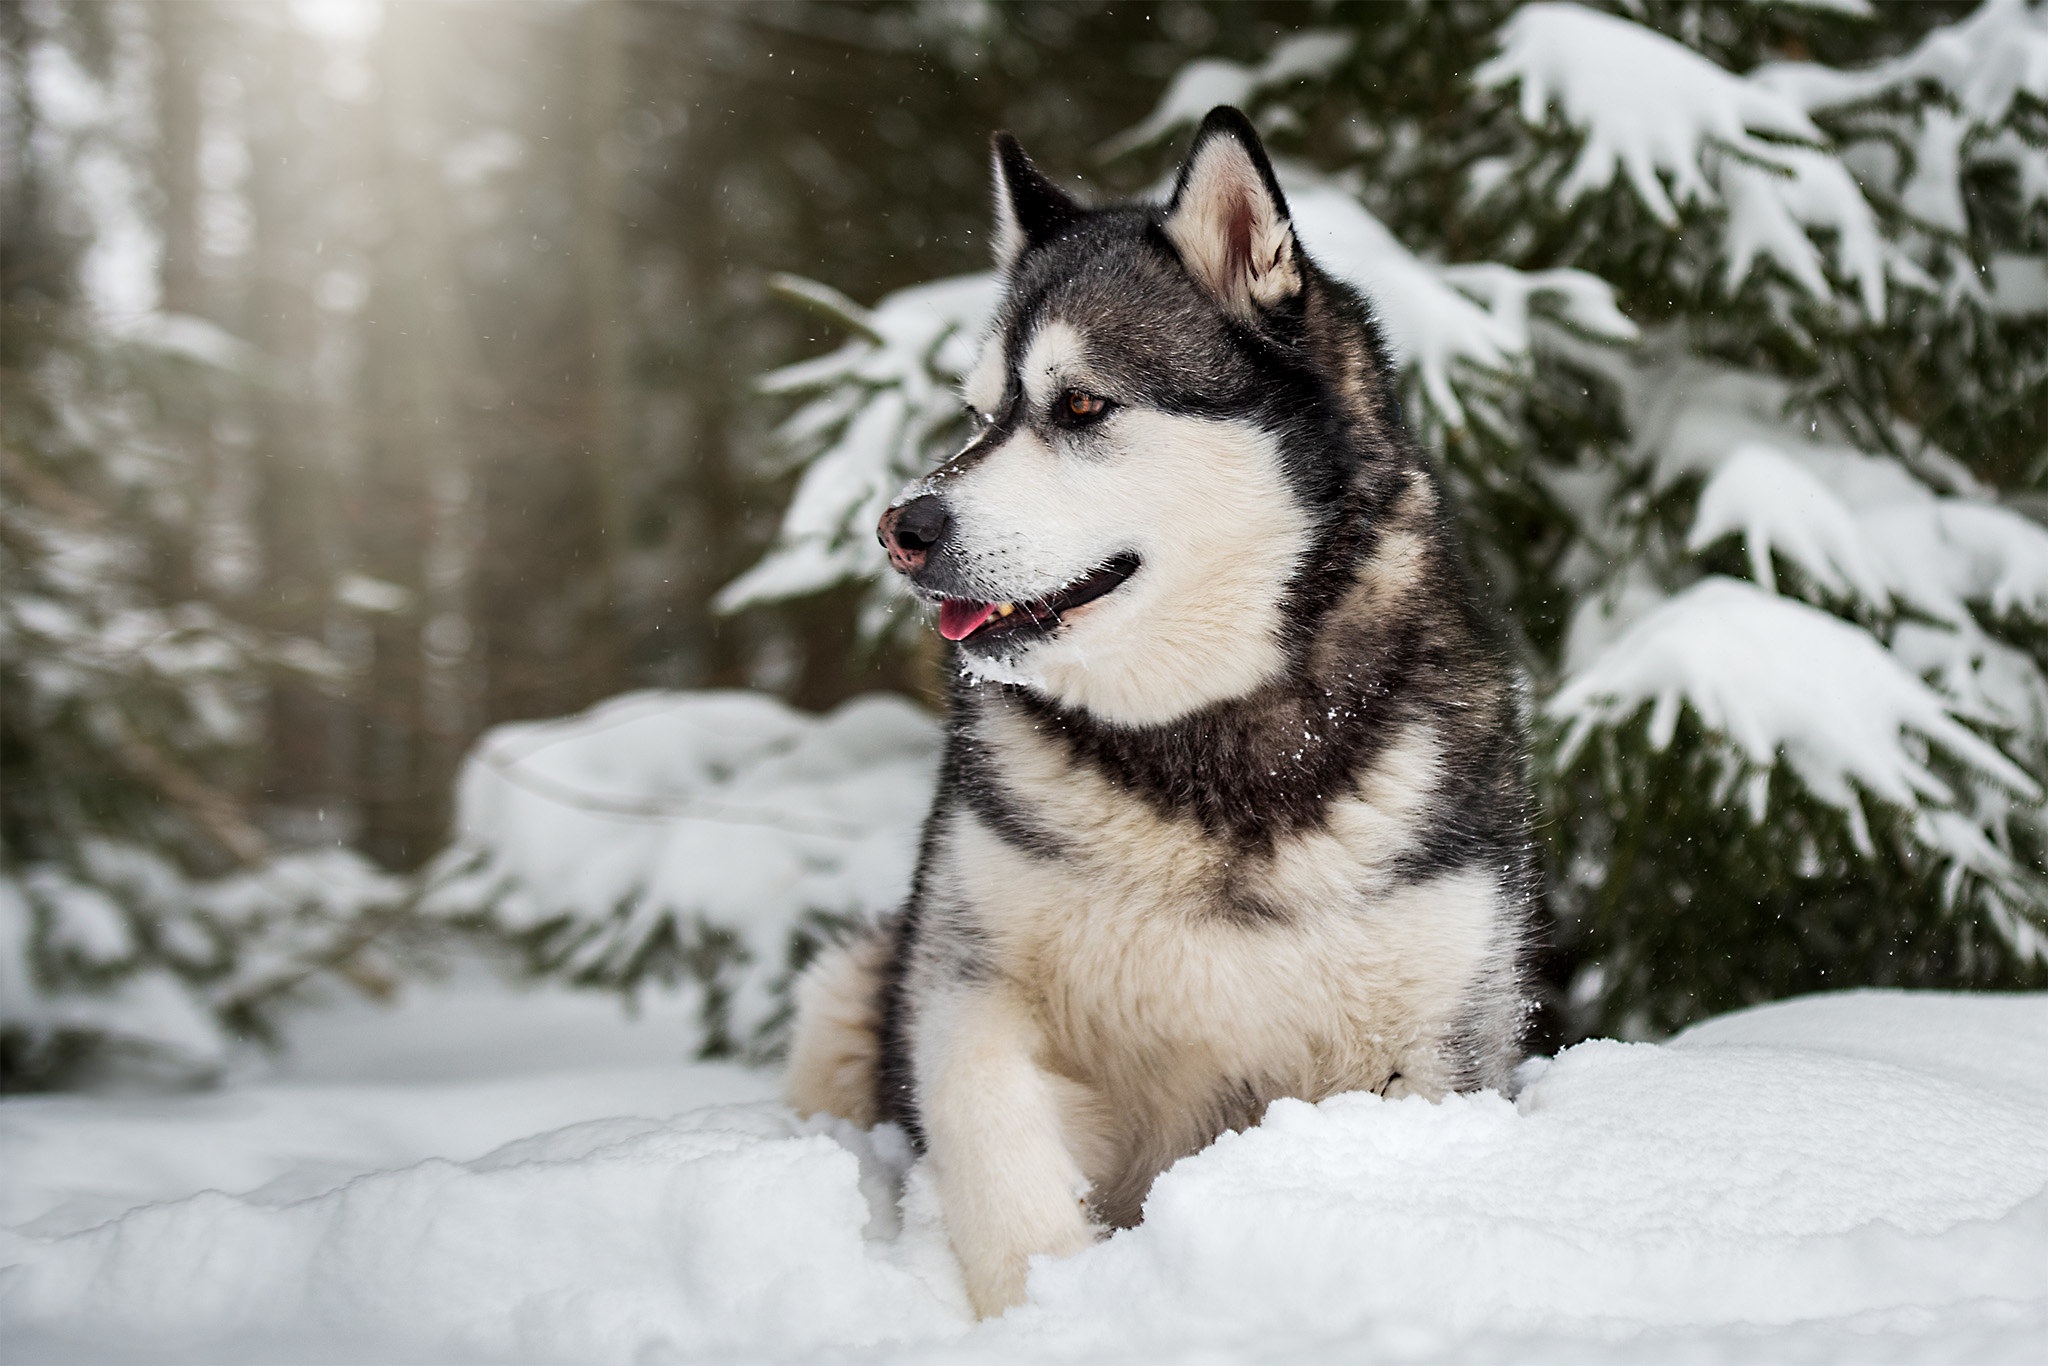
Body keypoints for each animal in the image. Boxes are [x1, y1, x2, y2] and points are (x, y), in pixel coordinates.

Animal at [782, 101, 1540, 1318]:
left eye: (1080, 404)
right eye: (978, 414)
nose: (901, 526)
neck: (1207, 744)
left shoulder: (1433, 1042)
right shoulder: (967, 982)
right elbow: (991, 1132)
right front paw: (1042, 1305)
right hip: (848, 989)